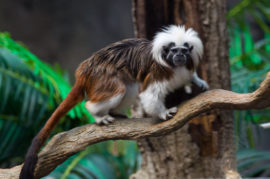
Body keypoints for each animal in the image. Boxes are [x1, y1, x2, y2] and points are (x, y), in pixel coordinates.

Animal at [19, 25, 209, 179]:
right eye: (173, 51)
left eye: (184, 51)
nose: (179, 56)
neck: (175, 66)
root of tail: (85, 70)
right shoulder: (159, 72)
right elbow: (150, 94)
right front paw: (163, 113)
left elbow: (189, 77)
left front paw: (198, 81)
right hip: (104, 77)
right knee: (115, 92)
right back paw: (98, 115)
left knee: (130, 89)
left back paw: (116, 112)